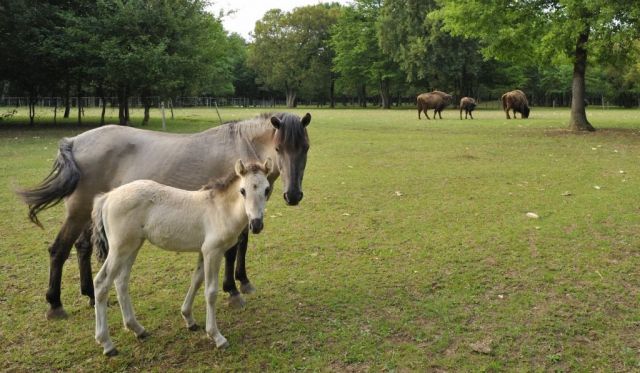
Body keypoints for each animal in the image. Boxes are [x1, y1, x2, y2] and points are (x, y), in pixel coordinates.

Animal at [17, 112, 312, 318]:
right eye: (279, 148)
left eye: (305, 148)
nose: (293, 195)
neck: (241, 146)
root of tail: (74, 141)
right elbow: (233, 249)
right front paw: (232, 290)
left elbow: (243, 245)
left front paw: (244, 281)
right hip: (77, 213)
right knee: (59, 250)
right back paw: (55, 305)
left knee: (83, 248)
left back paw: (90, 295)